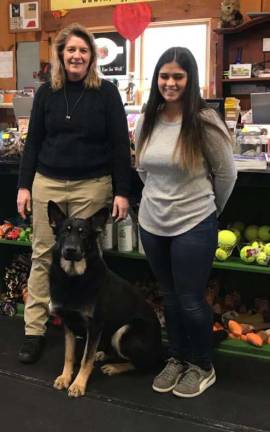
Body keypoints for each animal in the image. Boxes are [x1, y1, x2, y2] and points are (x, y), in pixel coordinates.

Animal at [47, 202, 161, 398]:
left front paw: (78, 384)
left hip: (124, 332)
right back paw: (103, 355)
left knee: (142, 365)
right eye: (64, 232)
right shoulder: (68, 323)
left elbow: (85, 359)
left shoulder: (95, 326)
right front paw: (65, 377)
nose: (70, 250)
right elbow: (69, 355)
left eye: (83, 234)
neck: (73, 278)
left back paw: (115, 367)